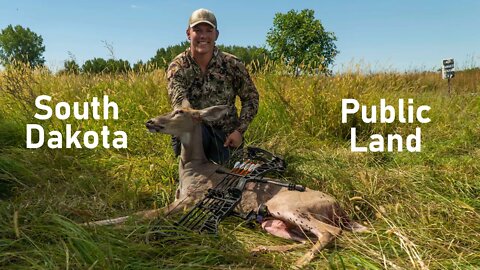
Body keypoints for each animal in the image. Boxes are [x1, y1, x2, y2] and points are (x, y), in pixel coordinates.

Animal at [84, 105, 366, 268]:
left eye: (179, 112)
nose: (150, 121)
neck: (192, 167)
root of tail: (341, 209)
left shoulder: (187, 201)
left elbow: (140, 215)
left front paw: (90, 224)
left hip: (285, 205)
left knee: (330, 232)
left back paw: (297, 264)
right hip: (272, 223)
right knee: (310, 238)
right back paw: (259, 249)